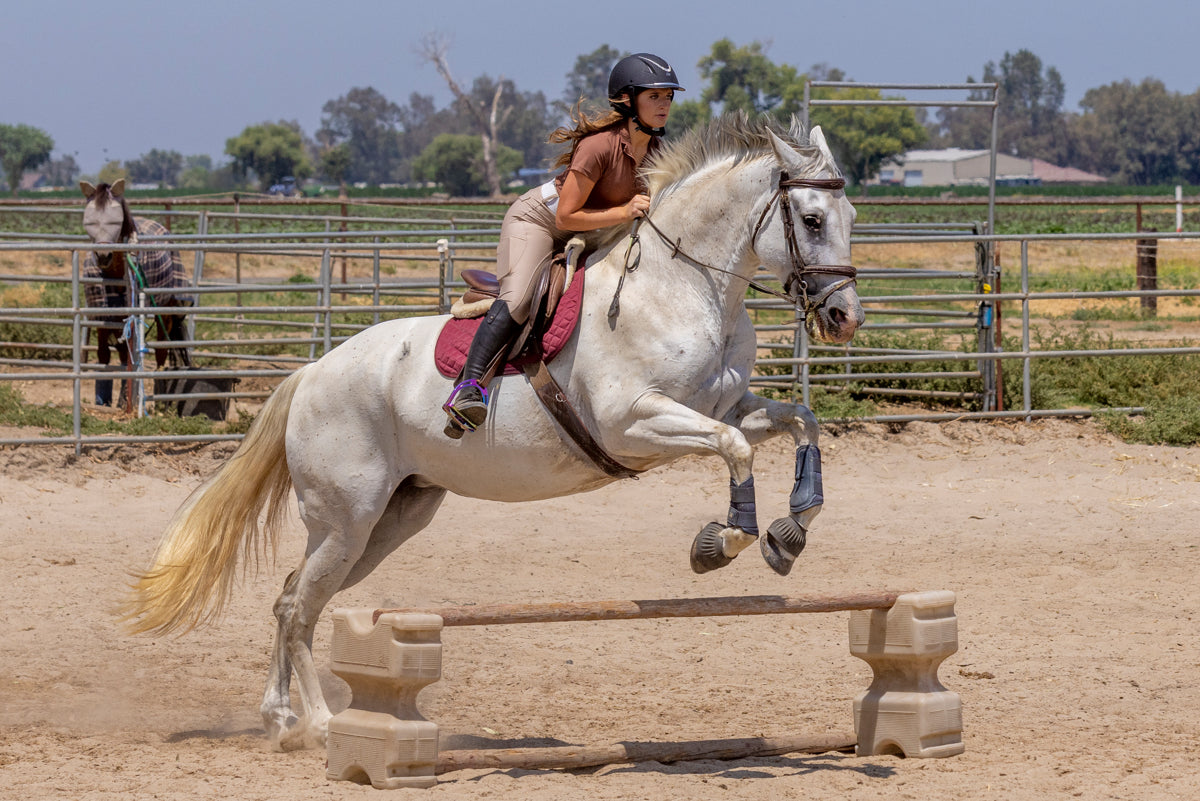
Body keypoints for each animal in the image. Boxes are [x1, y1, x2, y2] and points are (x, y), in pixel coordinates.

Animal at [78, 178, 192, 410]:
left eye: (115, 221)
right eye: (90, 221)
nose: (103, 255)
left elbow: (131, 358)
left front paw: (125, 401)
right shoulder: (102, 315)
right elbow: (105, 356)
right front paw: (105, 401)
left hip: (164, 311)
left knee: (161, 352)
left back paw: (159, 400)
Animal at [124, 113, 864, 753]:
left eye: (851, 218)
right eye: (811, 219)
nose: (845, 318)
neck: (682, 287)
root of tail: (309, 375)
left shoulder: (728, 405)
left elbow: (800, 422)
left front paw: (789, 532)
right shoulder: (634, 422)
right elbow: (735, 451)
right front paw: (724, 540)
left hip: (391, 519)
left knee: (287, 597)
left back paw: (280, 720)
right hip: (347, 519)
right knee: (300, 609)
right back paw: (326, 724)